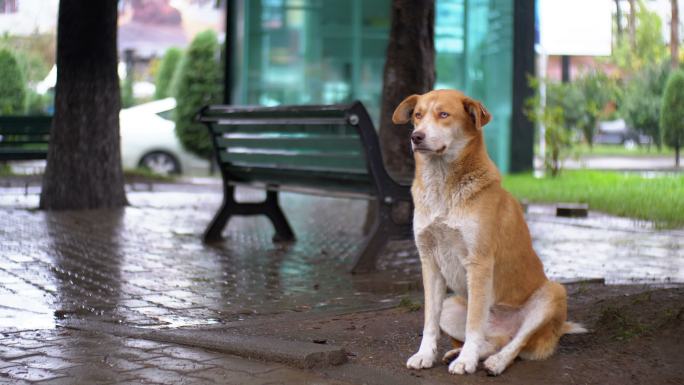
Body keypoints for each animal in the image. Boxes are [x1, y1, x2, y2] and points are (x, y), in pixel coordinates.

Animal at [396, 88, 588, 374]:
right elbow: (429, 320)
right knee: (494, 341)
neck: (443, 187)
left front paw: (466, 361)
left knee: (517, 343)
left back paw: (494, 362)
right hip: (452, 305)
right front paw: (425, 355)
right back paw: (460, 352)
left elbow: (474, 322)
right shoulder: (429, 260)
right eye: (418, 115)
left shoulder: (479, 262)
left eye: (444, 114)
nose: (416, 136)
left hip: (552, 294)